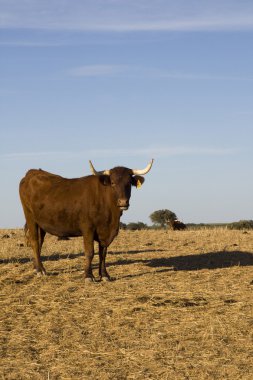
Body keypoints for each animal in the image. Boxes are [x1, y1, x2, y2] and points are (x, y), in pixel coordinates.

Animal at [18, 159, 153, 280]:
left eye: (129, 183)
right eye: (113, 183)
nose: (123, 202)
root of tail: (32, 173)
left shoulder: (105, 232)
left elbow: (103, 254)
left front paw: (104, 275)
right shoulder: (88, 229)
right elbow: (90, 252)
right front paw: (88, 275)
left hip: (41, 223)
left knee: (40, 243)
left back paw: (37, 267)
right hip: (30, 217)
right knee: (35, 242)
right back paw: (40, 270)